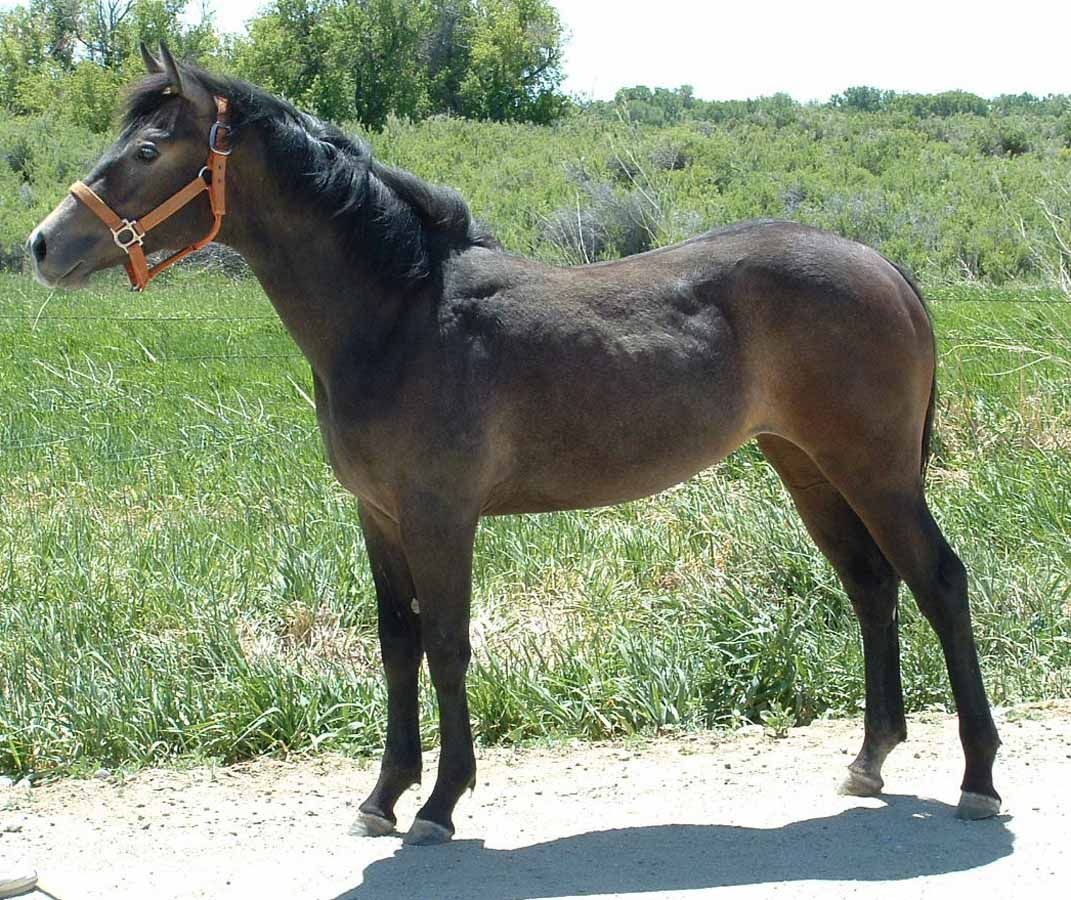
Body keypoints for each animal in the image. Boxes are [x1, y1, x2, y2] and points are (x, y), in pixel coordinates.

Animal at [27, 43, 1001, 845]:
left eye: (147, 152)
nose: (41, 244)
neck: (400, 314)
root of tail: (880, 265)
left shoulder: (439, 517)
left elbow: (447, 646)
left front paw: (438, 803)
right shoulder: (378, 516)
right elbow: (397, 644)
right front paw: (382, 796)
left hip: (874, 471)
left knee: (938, 583)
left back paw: (977, 778)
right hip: (806, 464)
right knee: (871, 587)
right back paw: (869, 759)